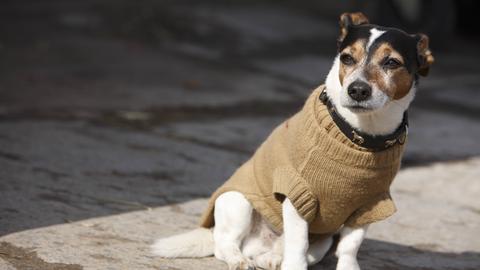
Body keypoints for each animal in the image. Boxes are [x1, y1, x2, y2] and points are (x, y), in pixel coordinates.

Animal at [151, 12, 436, 270]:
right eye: (347, 58)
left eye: (391, 62)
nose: (357, 90)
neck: (358, 134)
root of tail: (257, 245)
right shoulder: (299, 195)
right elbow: (298, 243)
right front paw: (292, 264)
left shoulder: (368, 206)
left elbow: (349, 247)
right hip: (237, 203)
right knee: (225, 244)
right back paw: (239, 259)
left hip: (322, 240)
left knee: (291, 250)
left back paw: (272, 258)